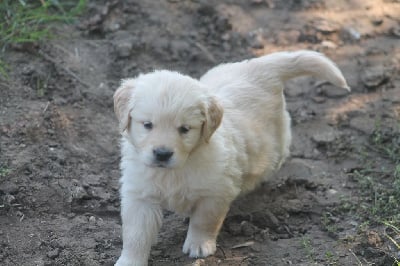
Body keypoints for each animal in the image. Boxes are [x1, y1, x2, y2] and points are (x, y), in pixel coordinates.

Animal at [112, 51, 346, 264]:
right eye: (147, 125)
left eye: (185, 129)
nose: (162, 153)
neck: (176, 169)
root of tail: (259, 66)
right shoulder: (139, 195)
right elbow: (135, 235)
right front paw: (130, 261)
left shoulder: (216, 192)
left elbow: (204, 221)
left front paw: (199, 244)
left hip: (273, 145)